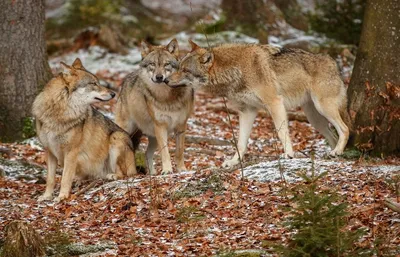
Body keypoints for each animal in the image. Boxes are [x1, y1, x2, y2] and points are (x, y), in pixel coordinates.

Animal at [32, 58, 136, 202]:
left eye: (98, 82)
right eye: (93, 83)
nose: (113, 93)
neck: (59, 112)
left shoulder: (71, 152)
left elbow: (65, 178)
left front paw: (62, 197)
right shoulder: (50, 151)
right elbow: (51, 179)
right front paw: (46, 196)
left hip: (117, 137)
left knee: (126, 174)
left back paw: (112, 175)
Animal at [114, 38, 194, 174]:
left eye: (166, 64)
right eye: (152, 64)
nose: (159, 77)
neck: (167, 98)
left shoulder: (181, 126)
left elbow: (179, 152)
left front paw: (182, 169)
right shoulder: (160, 126)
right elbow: (165, 152)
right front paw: (167, 170)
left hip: (152, 137)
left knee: (147, 153)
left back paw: (152, 174)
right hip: (126, 130)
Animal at [166, 40, 350, 167]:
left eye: (185, 70)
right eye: (178, 66)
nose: (165, 80)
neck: (236, 70)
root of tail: (333, 63)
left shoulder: (274, 103)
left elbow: (281, 132)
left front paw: (288, 154)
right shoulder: (247, 111)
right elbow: (241, 143)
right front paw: (233, 162)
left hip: (323, 108)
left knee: (345, 129)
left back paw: (337, 151)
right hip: (314, 118)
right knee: (334, 135)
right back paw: (333, 154)